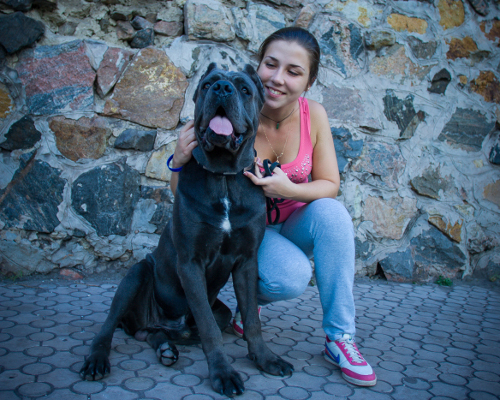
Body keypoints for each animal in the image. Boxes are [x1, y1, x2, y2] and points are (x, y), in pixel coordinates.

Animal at [80, 64, 294, 396]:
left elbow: (250, 320)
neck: (223, 177)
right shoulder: (190, 263)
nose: (222, 88)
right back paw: (98, 359)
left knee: (163, 332)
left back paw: (166, 347)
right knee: (108, 326)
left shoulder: (247, 261)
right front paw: (223, 373)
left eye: (244, 89)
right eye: (207, 85)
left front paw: (265, 358)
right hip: (136, 275)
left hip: (211, 311)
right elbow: (208, 328)